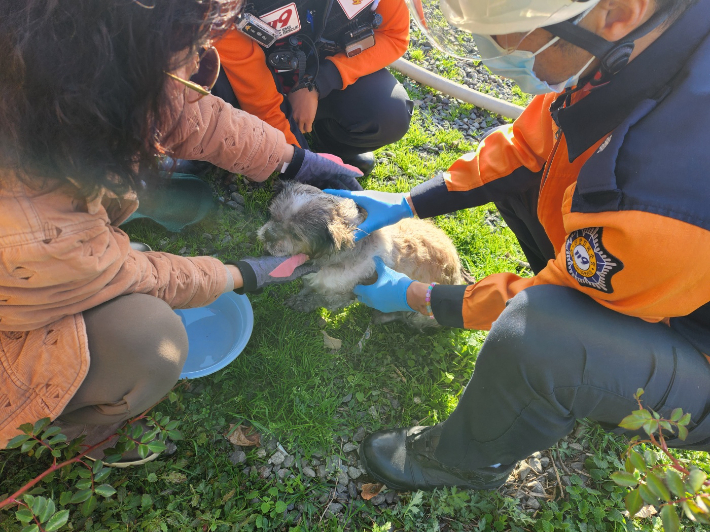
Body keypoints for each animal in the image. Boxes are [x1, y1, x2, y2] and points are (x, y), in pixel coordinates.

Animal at [258, 181, 468, 326]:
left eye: (295, 235)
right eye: (273, 215)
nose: (267, 234)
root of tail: (458, 276)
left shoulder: (345, 294)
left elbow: (318, 299)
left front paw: (301, 303)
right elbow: (308, 288)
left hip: (420, 311)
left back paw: (383, 315)